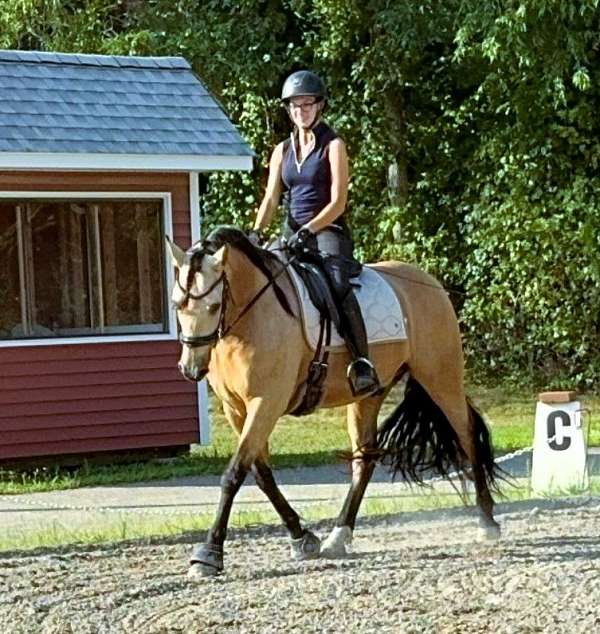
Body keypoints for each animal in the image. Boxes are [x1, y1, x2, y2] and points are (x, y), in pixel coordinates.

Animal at [165, 227, 502, 576]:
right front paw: (302, 537)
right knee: (364, 460)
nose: (190, 368)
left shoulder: (266, 403)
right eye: (177, 305)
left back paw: (486, 521)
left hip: (441, 377)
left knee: (467, 435)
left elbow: (233, 474)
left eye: (213, 306)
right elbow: (260, 473)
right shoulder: (236, 409)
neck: (250, 318)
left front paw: (209, 553)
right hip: (369, 395)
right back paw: (339, 535)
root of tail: (429, 282)